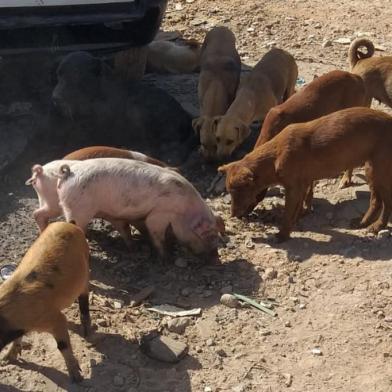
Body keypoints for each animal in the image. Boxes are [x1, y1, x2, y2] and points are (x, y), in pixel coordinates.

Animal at [0, 222, 90, 382]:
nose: (2, 362)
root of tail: (69, 223)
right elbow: (16, 340)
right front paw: (6, 360)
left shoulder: (54, 318)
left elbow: (62, 345)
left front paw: (77, 378)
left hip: (86, 267)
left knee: (84, 297)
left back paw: (86, 332)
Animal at [55, 158, 224, 258]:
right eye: (209, 235)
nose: (215, 257)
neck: (184, 210)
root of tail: (67, 173)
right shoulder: (160, 214)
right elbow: (155, 231)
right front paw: (165, 257)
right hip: (78, 210)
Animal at [219, 108, 392, 242]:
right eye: (229, 193)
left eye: (239, 192)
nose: (232, 215)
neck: (274, 156)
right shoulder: (301, 185)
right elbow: (297, 209)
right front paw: (295, 223)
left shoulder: (293, 188)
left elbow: (288, 213)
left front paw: (282, 235)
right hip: (371, 170)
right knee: (376, 200)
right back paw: (362, 222)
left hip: (380, 171)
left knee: (387, 202)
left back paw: (377, 227)